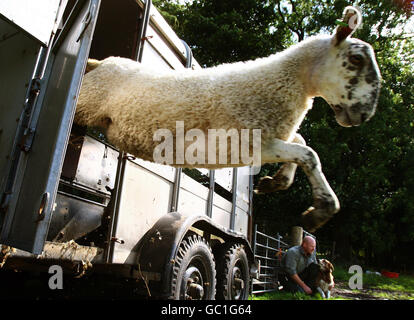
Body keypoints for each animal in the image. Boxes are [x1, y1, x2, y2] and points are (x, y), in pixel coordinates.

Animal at [75, 6, 382, 232]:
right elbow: (309, 153)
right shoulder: (246, 143)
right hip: (85, 101)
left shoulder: (266, 137)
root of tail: (102, 62)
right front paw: (320, 211)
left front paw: (274, 182)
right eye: (356, 59)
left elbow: (301, 142)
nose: (364, 114)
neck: (280, 82)